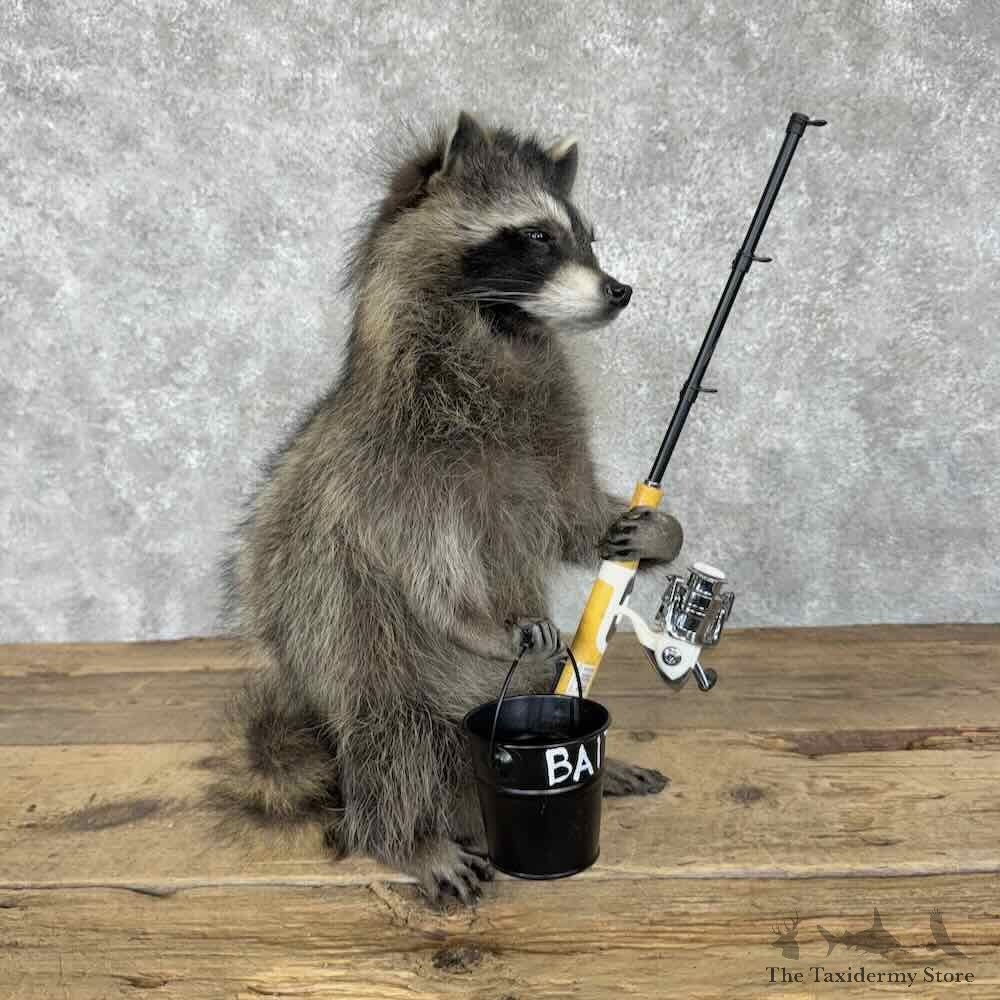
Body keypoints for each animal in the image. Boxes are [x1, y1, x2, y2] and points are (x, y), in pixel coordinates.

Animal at [217, 112, 684, 906]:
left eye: (588, 237)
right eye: (536, 237)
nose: (620, 289)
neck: (499, 334)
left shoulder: (548, 436)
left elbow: (570, 517)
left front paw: (649, 530)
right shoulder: (391, 463)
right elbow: (424, 559)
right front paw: (478, 617)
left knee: (555, 682)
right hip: (367, 657)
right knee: (390, 734)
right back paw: (405, 835)